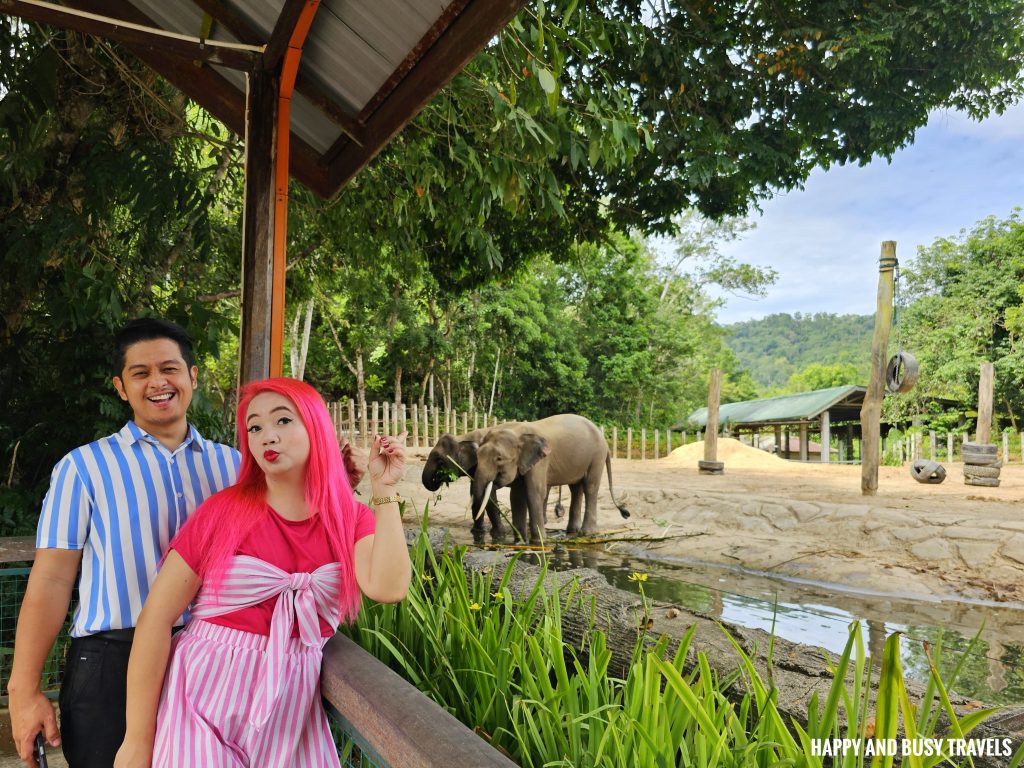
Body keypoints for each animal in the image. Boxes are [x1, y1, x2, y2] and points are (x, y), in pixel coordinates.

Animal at [468, 415, 626, 548]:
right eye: (477, 455)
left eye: (499, 459)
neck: (518, 431)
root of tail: (602, 436)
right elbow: (517, 497)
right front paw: (519, 543)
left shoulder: (541, 461)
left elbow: (534, 493)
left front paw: (538, 543)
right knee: (576, 488)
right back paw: (572, 531)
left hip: (596, 457)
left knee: (590, 487)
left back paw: (587, 533)